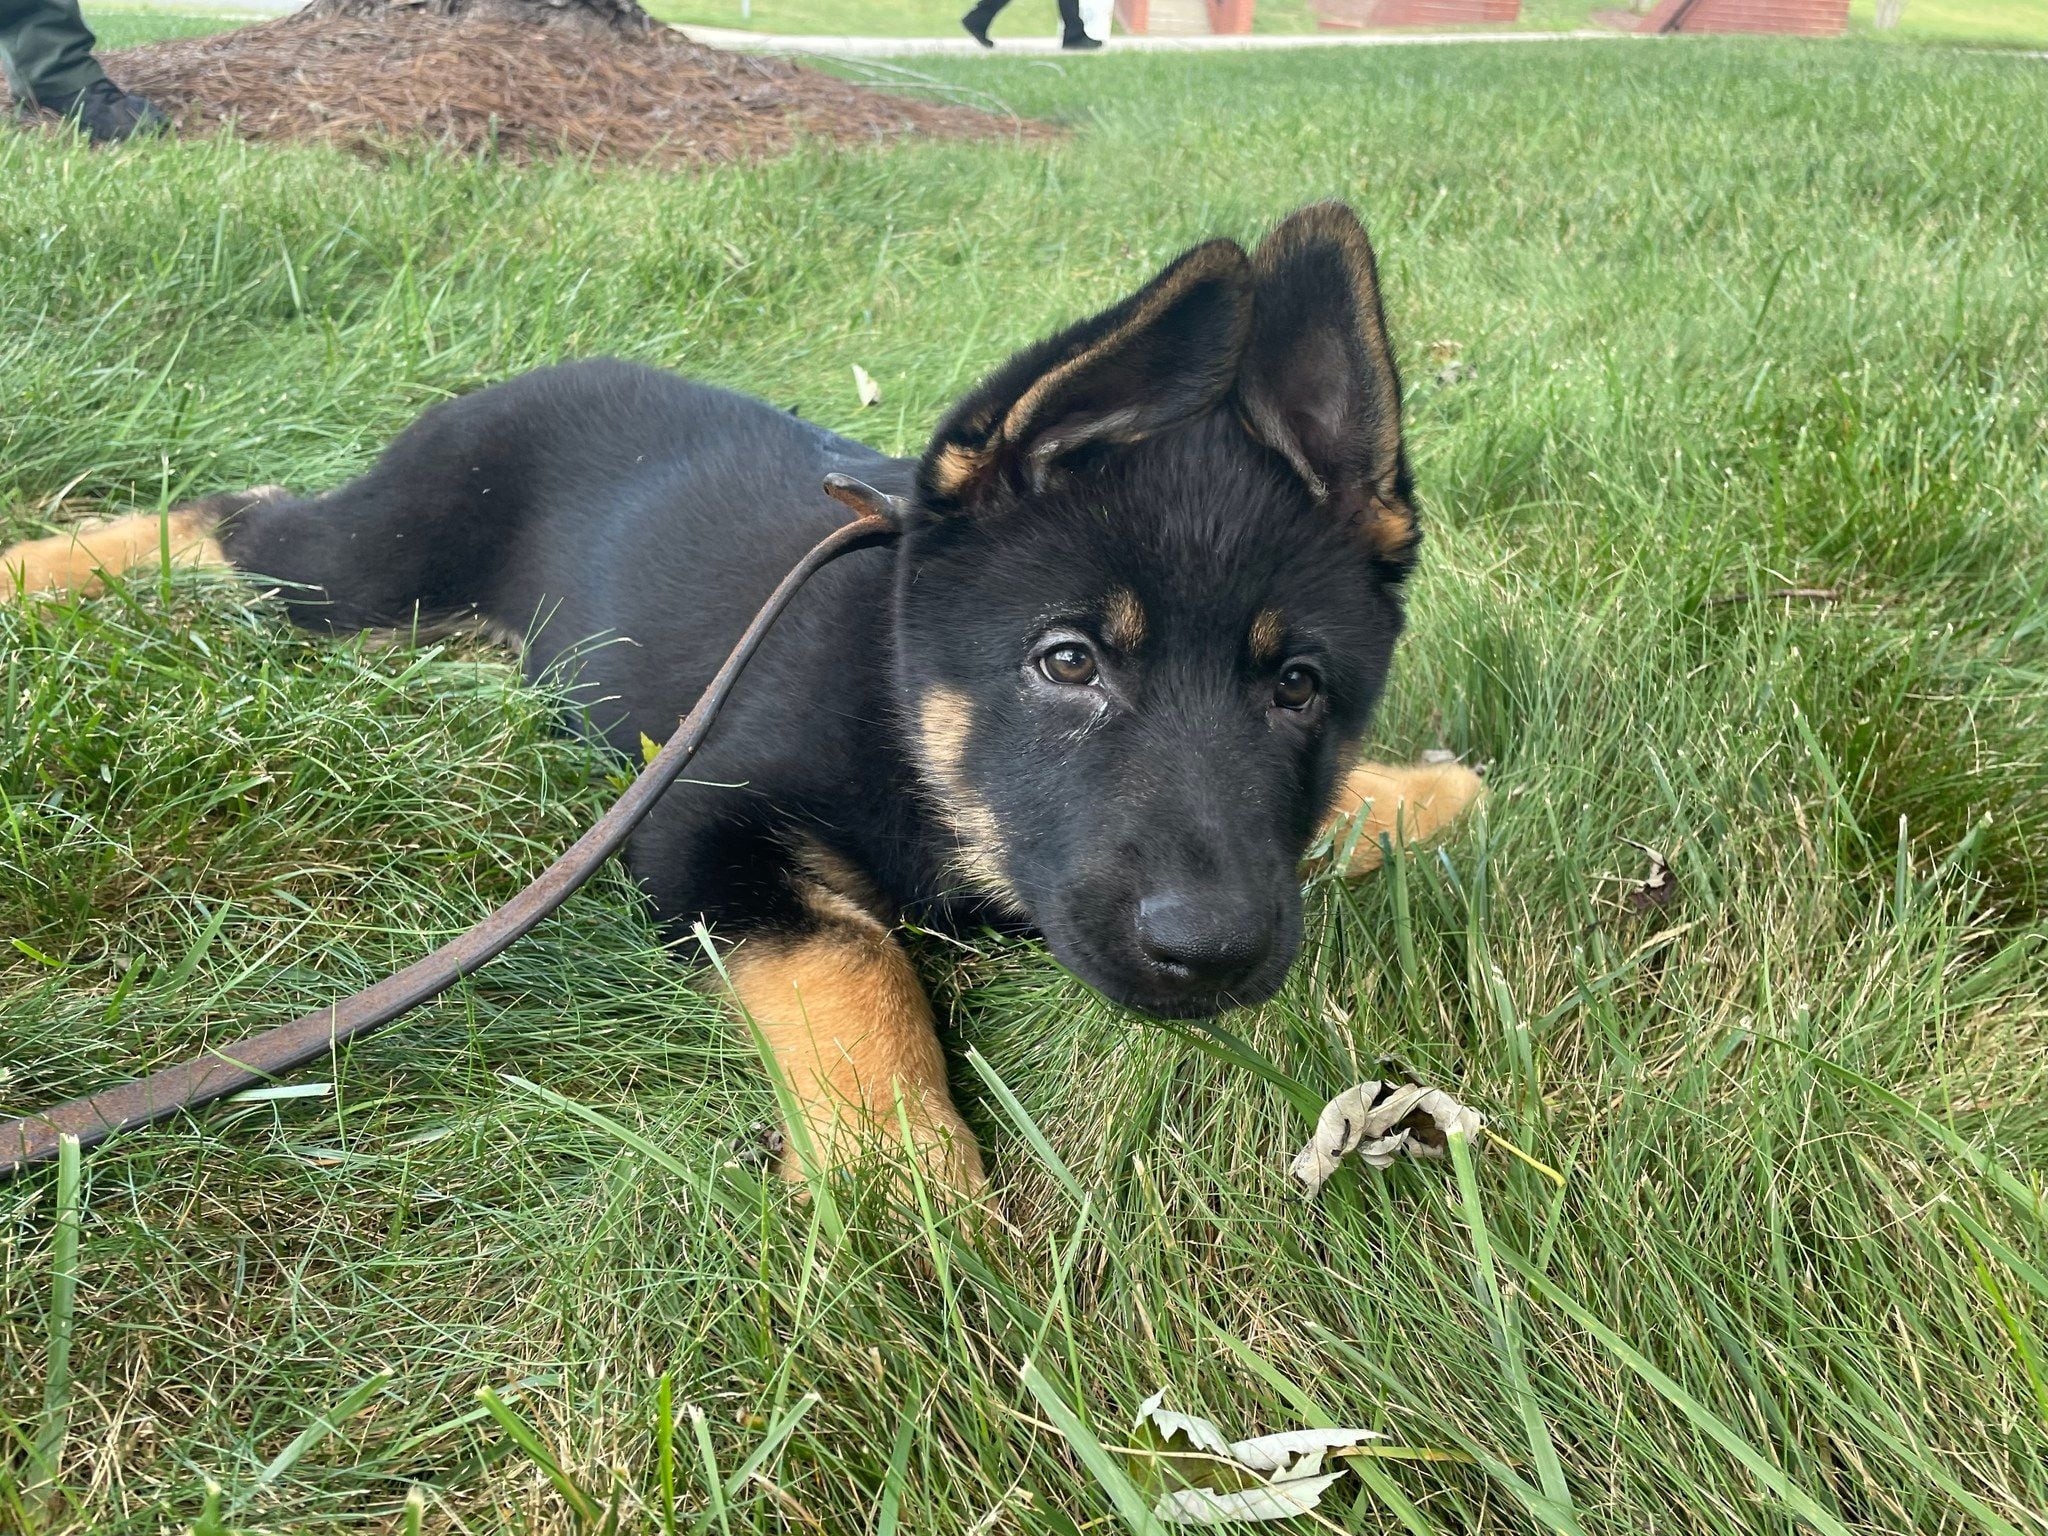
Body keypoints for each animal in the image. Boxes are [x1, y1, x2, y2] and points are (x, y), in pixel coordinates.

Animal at [12, 204, 1490, 1187]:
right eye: (1066, 662)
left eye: (1299, 687)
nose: (1216, 953)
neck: (903, 710)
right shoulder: (696, 820)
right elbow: (852, 963)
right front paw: (902, 1185)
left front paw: (1408, 795)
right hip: (363, 566)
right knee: (228, 521)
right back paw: (36, 570)